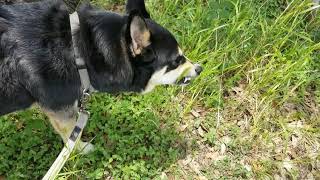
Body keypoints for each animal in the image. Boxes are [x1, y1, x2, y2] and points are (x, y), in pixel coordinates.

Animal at [0, 0, 204, 152]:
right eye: (177, 60)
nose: (200, 68)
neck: (79, 51)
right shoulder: (61, 111)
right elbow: (71, 134)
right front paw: (80, 150)